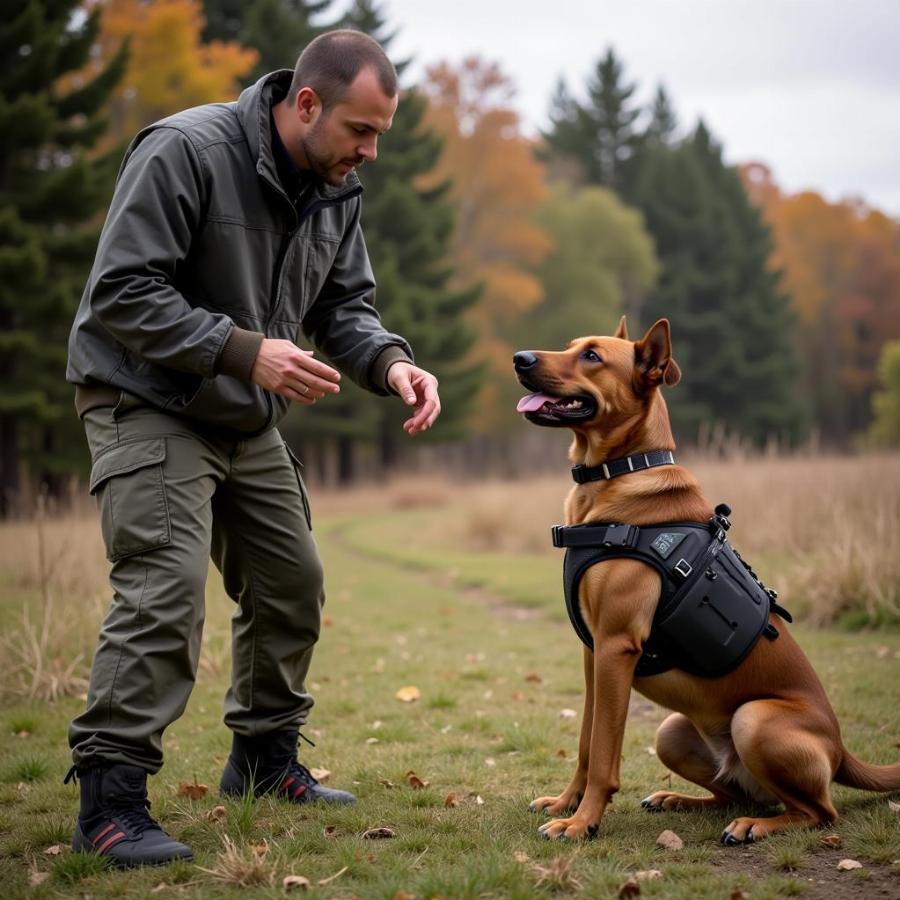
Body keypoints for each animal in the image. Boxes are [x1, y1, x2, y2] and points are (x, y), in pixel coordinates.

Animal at [512, 318, 900, 844]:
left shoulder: (616, 646)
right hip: (672, 732)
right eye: (572, 347)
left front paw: (583, 821)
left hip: (753, 720)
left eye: (592, 356)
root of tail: (841, 750)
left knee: (817, 811)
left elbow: (604, 754)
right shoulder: (594, 652)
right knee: (733, 793)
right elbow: (587, 744)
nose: (520, 359)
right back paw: (677, 799)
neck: (617, 476)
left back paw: (753, 826)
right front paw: (566, 804)